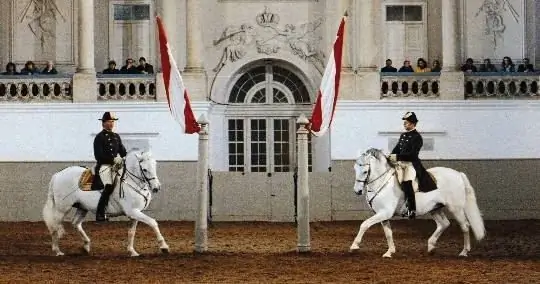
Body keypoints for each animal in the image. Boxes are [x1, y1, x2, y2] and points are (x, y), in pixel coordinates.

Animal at [350, 149, 486, 258]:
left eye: (365, 171)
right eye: (355, 169)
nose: (357, 191)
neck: (382, 182)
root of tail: (458, 174)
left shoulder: (384, 212)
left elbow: (364, 224)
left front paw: (354, 246)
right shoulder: (383, 215)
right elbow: (388, 233)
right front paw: (389, 252)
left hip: (455, 208)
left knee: (465, 226)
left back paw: (464, 252)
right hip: (435, 208)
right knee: (444, 224)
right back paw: (431, 247)